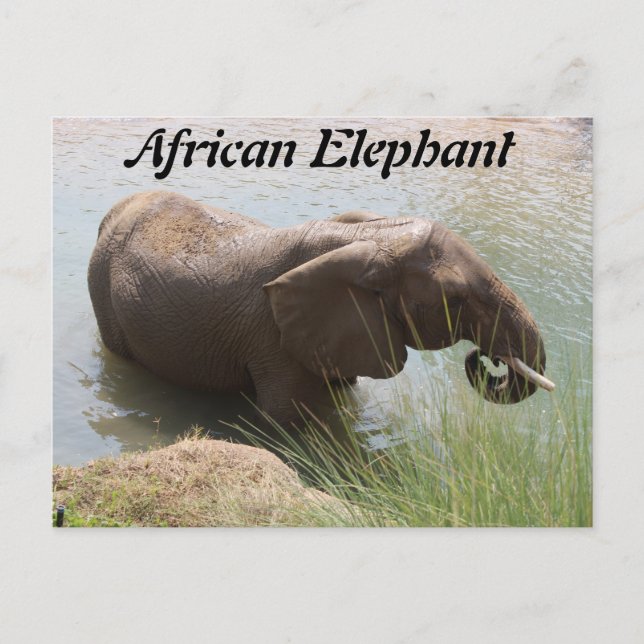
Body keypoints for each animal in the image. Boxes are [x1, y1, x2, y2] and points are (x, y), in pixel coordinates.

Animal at [88, 191, 554, 424]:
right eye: (455, 299)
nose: (485, 360)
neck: (368, 237)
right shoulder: (275, 340)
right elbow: (294, 418)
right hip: (101, 289)